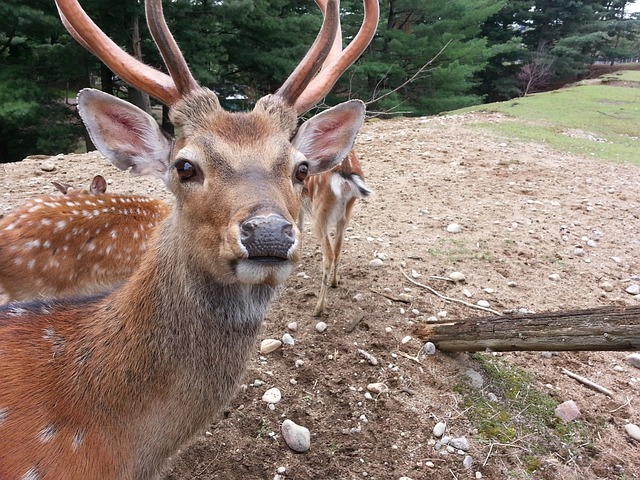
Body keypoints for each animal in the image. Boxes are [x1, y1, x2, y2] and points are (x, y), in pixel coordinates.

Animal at [302, 150, 372, 316]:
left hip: (320, 211)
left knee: (329, 254)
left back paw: (318, 308)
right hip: (347, 212)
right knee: (338, 248)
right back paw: (335, 282)